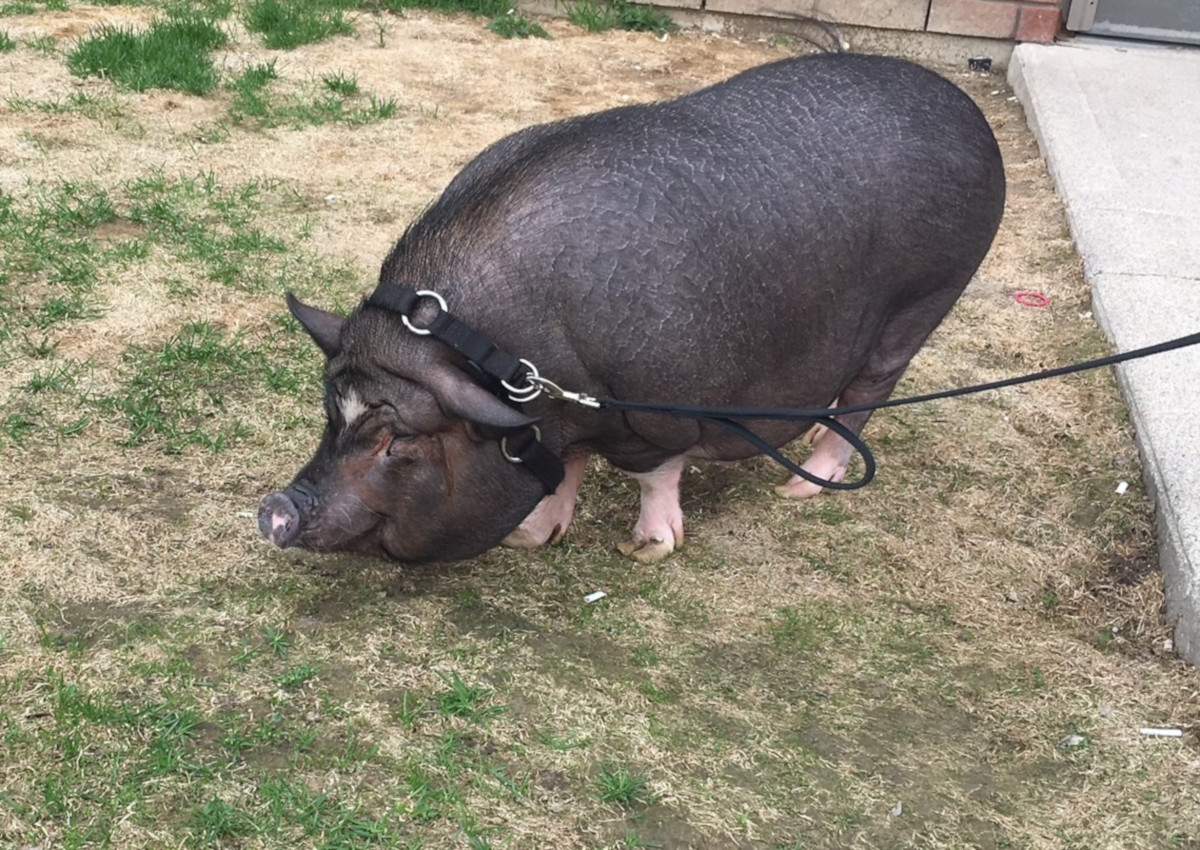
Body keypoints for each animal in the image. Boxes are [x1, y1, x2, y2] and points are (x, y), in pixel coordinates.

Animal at [259, 53, 1005, 564]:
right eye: (331, 412)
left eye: (399, 441)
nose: (273, 509)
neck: (510, 355)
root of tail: (962, 105)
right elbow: (568, 468)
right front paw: (534, 537)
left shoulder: (665, 406)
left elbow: (655, 472)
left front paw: (648, 550)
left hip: (928, 296)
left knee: (865, 394)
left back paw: (801, 490)